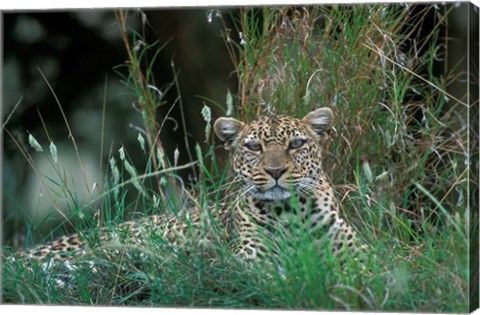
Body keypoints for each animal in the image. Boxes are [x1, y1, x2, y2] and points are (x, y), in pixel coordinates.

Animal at [7, 107, 364, 272]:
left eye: (296, 144)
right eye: (253, 147)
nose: (275, 171)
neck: (292, 213)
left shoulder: (360, 253)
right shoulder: (247, 258)